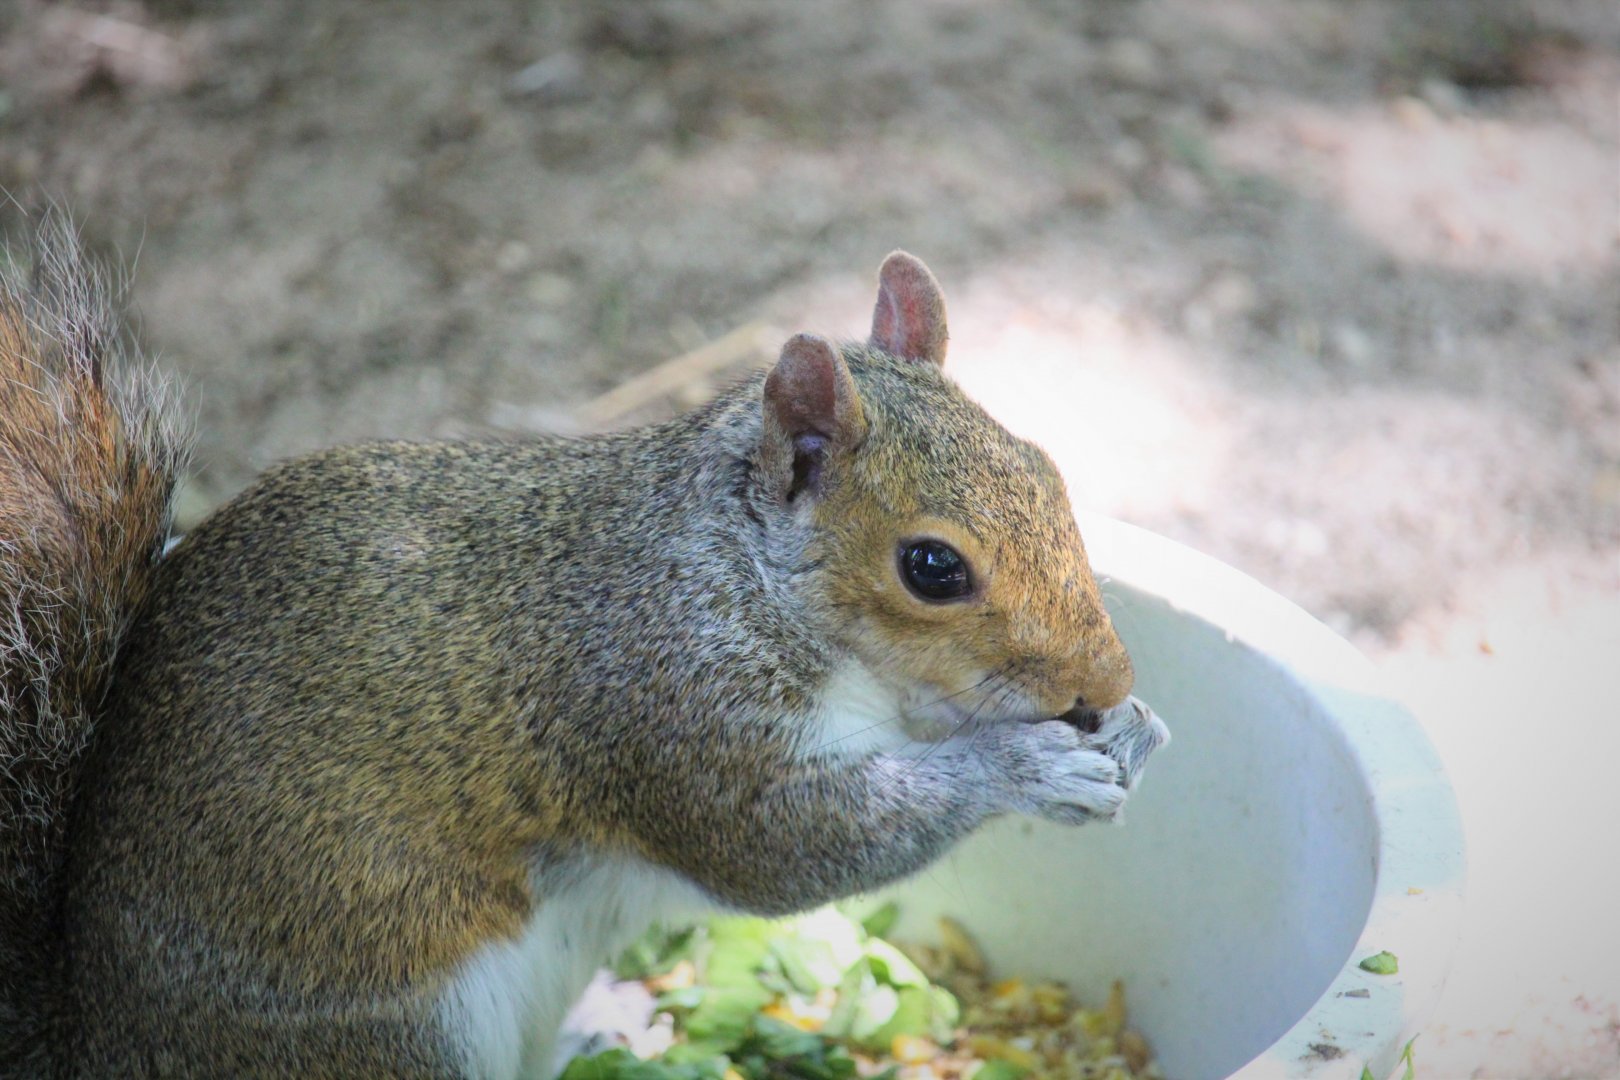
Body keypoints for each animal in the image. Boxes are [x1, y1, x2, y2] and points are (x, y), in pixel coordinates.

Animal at [0, 218, 1168, 1079]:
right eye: (932, 567)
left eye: (1046, 467)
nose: (1108, 678)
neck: (741, 573)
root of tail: (100, 1040)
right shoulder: (665, 705)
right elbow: (787, 847)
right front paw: (1027, 766)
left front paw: (1134, 732)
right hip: (391, 1034)